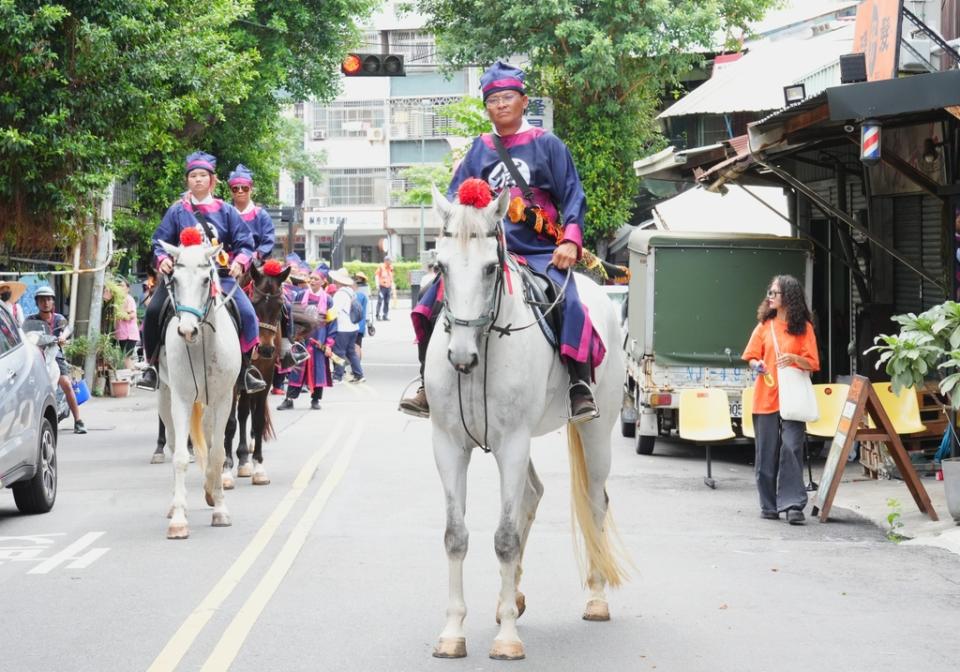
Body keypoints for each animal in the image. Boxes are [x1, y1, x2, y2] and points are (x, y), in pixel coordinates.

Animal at [157, 242, 240, 540]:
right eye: (174, 280)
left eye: (206, 280)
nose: (186, 330)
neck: (202, 344)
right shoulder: (181, 398)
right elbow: (181, 456)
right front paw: (179, 520)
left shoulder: (223, 398)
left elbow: (218, 453)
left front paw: (220, 510)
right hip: (165, 396)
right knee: (173, 443)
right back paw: (174, 504)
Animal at [221, 262, 288, 488]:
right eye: (255, 303)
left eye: (279, 305)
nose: (266, 349)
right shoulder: (231, 382)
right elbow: (229, 423)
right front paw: (225, 470)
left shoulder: (264, 378)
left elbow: (257, 420)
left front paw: (258, 467)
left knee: (243, 413)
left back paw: (243, 459)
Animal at [430, 185, 632, 660]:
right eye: (440, 266)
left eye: (490, 268)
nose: (461, 356)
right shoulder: (448, 443)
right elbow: (455, 535)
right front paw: (452, 632)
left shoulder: (512, 443)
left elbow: (504, 538)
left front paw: (506, 640)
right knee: (532, 495)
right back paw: (514, 597)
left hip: (595, 433)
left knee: (595, 502)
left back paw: (595, 598)